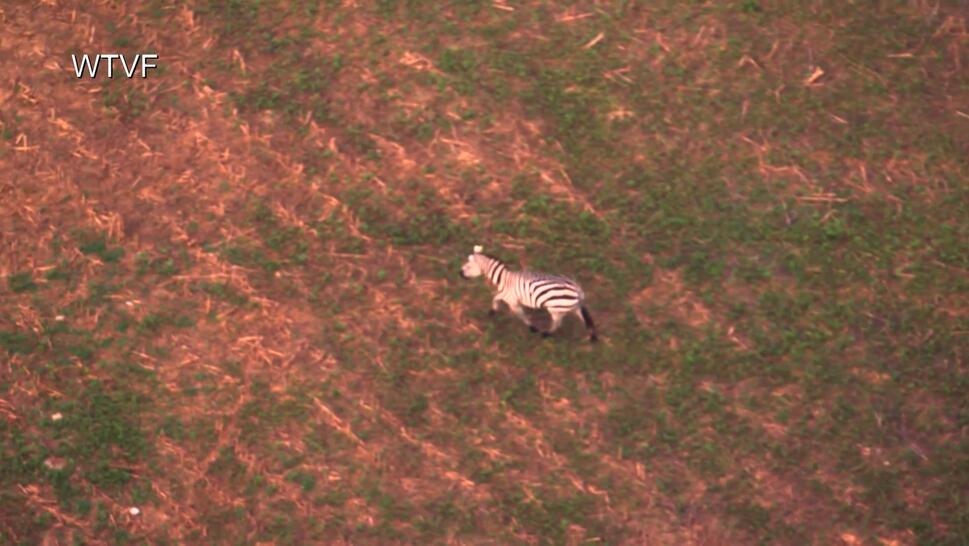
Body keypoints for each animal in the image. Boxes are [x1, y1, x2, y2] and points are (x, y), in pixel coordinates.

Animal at [459, 245, 598, 342]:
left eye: (468, 267)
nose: (459, 274)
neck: (504, 280)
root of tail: (577, 289)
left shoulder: (512, 301)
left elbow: (520, 314)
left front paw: (532, 328)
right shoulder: (506, 295)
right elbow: (495, 298)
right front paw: (492, 312)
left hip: (555, 308)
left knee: (558, 323)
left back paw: (546, 334)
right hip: (571, 306)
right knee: (583, 318)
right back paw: (592, 336)